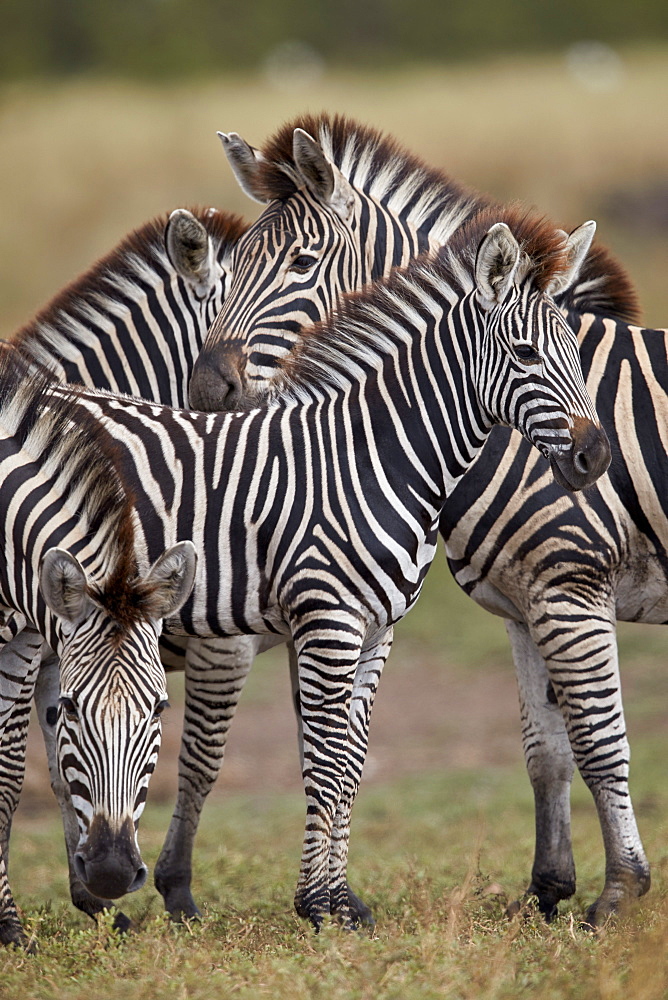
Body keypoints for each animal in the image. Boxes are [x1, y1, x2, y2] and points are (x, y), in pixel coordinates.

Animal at [187, 113, 664, 924]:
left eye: (301, 263)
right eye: (235, 261)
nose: (205, 387)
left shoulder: (570, 584)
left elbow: (600, 741)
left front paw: (619, 896)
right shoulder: (525, 602)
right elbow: (547, 752)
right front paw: (547, 893)